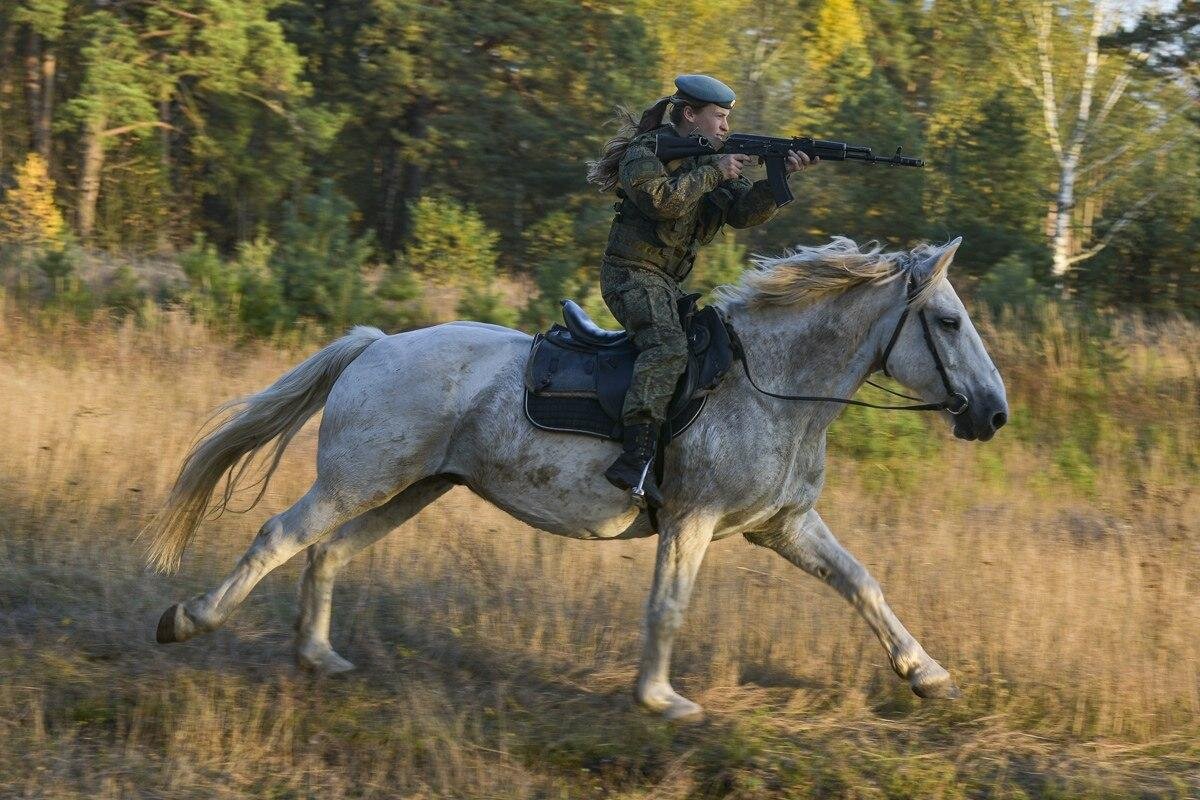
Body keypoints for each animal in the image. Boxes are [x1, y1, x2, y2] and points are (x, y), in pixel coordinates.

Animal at [152, 235, 1012, 724]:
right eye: (948, 322)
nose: (995, 412)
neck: (770, 384)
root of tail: (376, 343)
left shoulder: (784, 525)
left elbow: (863, 584)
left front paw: (929, 677)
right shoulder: (692, 521)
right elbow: (668, 607)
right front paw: (662, 701)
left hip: (413, 489)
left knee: (327, 553)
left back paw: (319, 658)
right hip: (357, 482)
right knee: (279, 537)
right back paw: (188, 620)